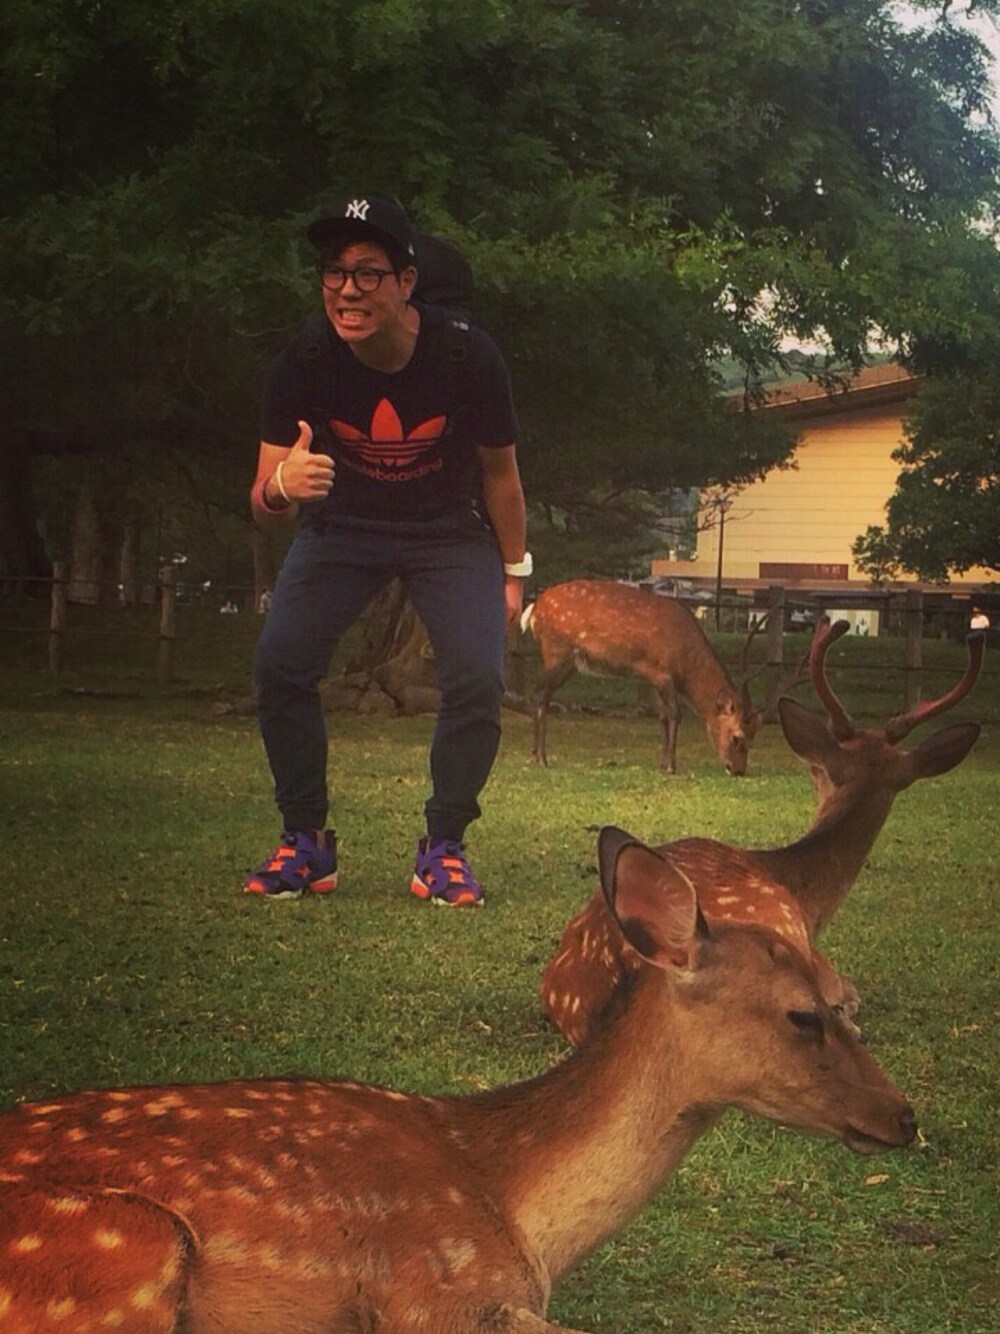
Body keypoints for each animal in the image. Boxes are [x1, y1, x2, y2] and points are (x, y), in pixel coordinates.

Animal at [0, 826, 916, 1334]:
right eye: (806, 1013)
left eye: (845, 1000)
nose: (904, 1117)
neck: (522, 1216)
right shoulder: (432, 1289)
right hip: (120, 1252)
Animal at [520, 579, 763, 774]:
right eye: (737, 738)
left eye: (754, 736)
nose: (738, 770)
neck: (684, 664)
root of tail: (533, 609)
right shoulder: (663, 673)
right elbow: (675, 715)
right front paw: (671, 766)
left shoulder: (654, 678)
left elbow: (662, 716)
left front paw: (662, 763)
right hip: (555, 651)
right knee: (538, 693)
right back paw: (541, 757)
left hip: (570, 663)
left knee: (544, 694)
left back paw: (537, 754)